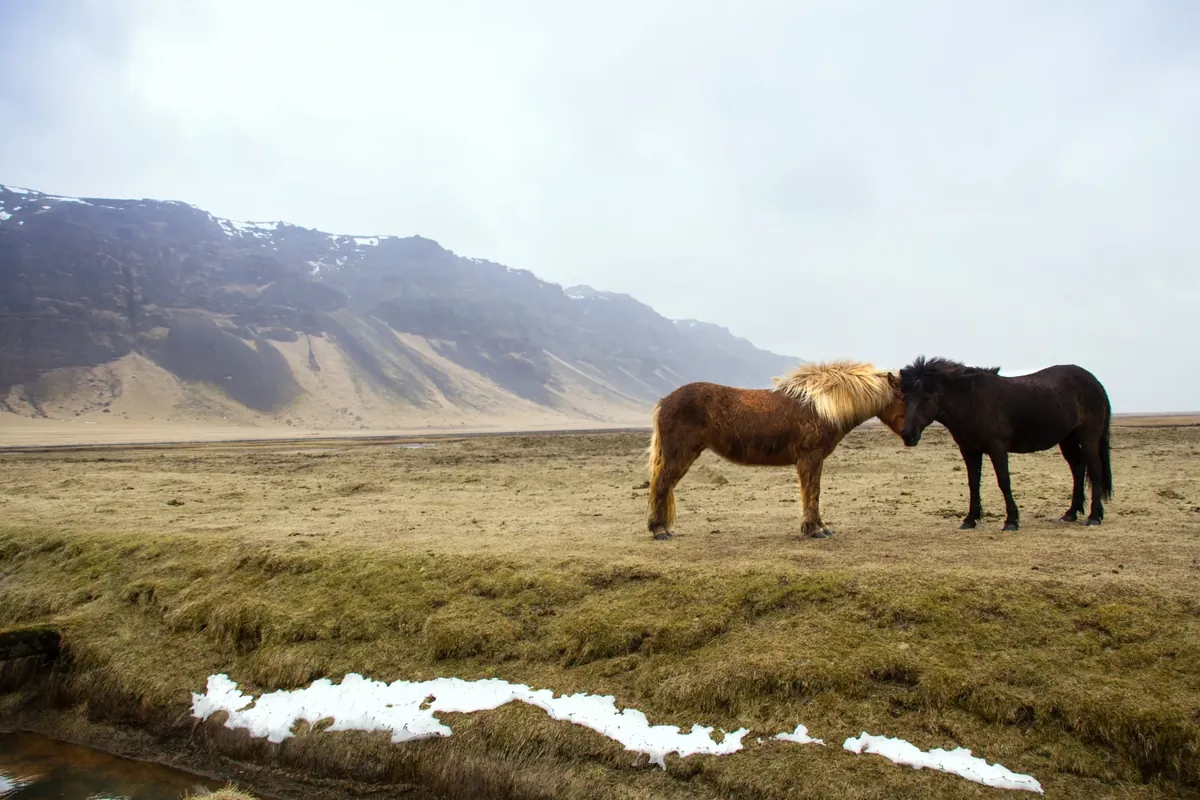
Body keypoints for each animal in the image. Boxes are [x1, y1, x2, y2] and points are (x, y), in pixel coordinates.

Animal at [645, 360, 907, 540]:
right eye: (904, 399)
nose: (910, 436)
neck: (821, 406)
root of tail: (665, 401)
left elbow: (814, 492)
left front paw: (820, 527)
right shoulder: (810, 458)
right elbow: (812, 491)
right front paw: (814, 529)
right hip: (679, 455)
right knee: (662, 485)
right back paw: (659, 530)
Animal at [897, 356, 1113, 531]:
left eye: (927, 397)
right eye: (906, 397)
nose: (908, 435)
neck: (972, 402)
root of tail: (1095, 383)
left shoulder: (997, 448)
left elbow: (1003, 481)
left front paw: (1011, 521)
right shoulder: (969, 450)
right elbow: (973, 483)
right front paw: (970, 519)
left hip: (1089, 437)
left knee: (1095, 469)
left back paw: (1094, 517)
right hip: (1067, 439)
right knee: (1078, 468)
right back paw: (1071, 513)